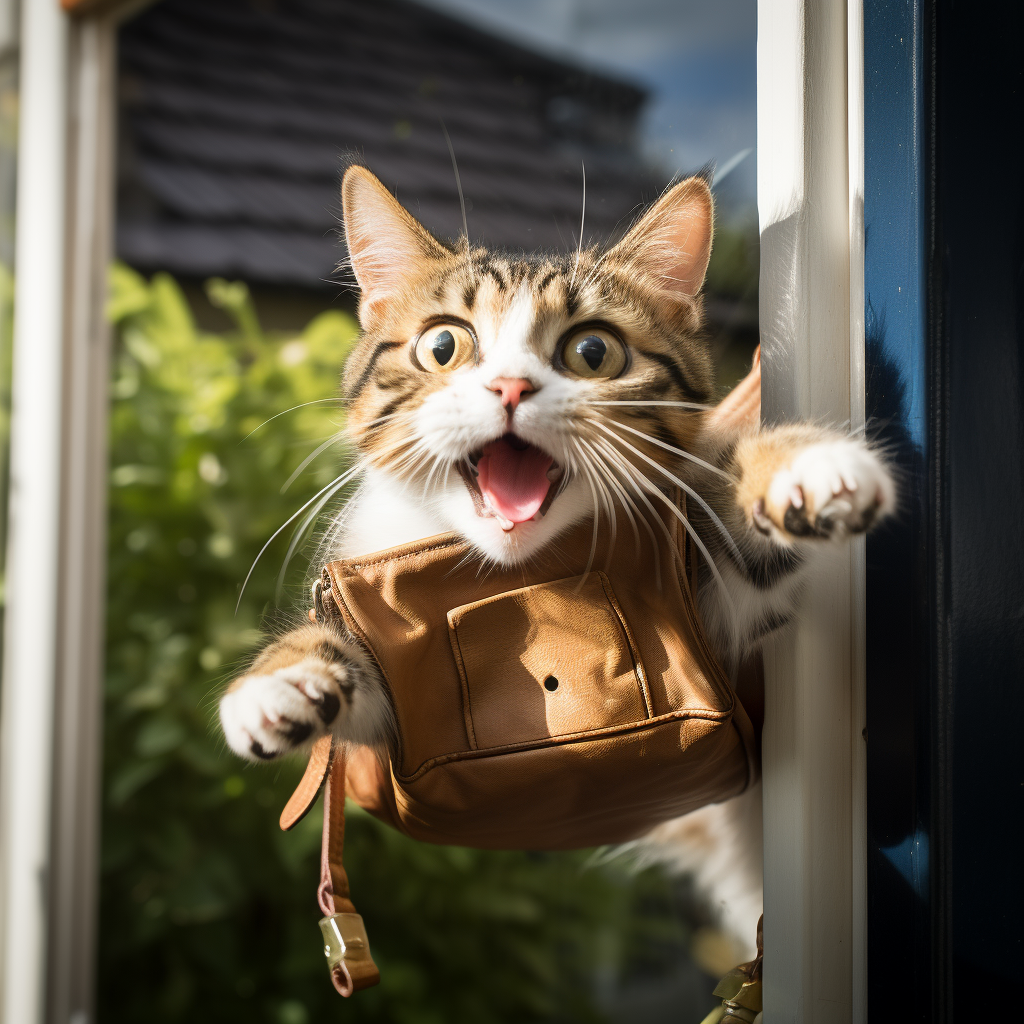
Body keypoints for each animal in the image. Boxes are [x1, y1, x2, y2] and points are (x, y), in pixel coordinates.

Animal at [218, 161, 897, 950]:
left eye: (593, 351)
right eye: (443, 347)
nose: (510, 386)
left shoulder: (706, 588)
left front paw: (809, 469)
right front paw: (279, 683)